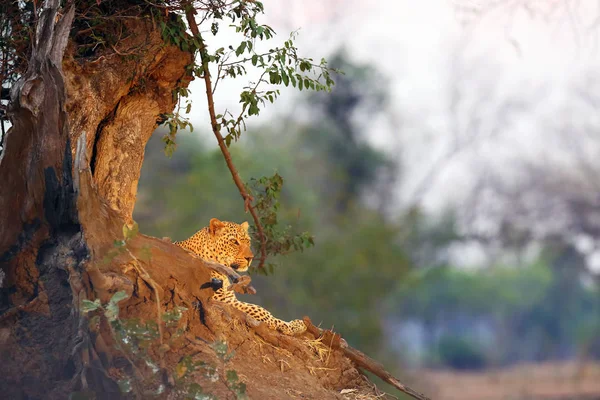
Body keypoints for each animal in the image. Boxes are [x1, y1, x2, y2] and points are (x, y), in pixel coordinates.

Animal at [172, 217, 304, 336]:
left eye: (248, 241)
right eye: (234, 242)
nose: (250, 258)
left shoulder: (229, 299)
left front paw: (296, 324)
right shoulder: (222, 300)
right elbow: (261, 311)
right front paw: (294, 326)